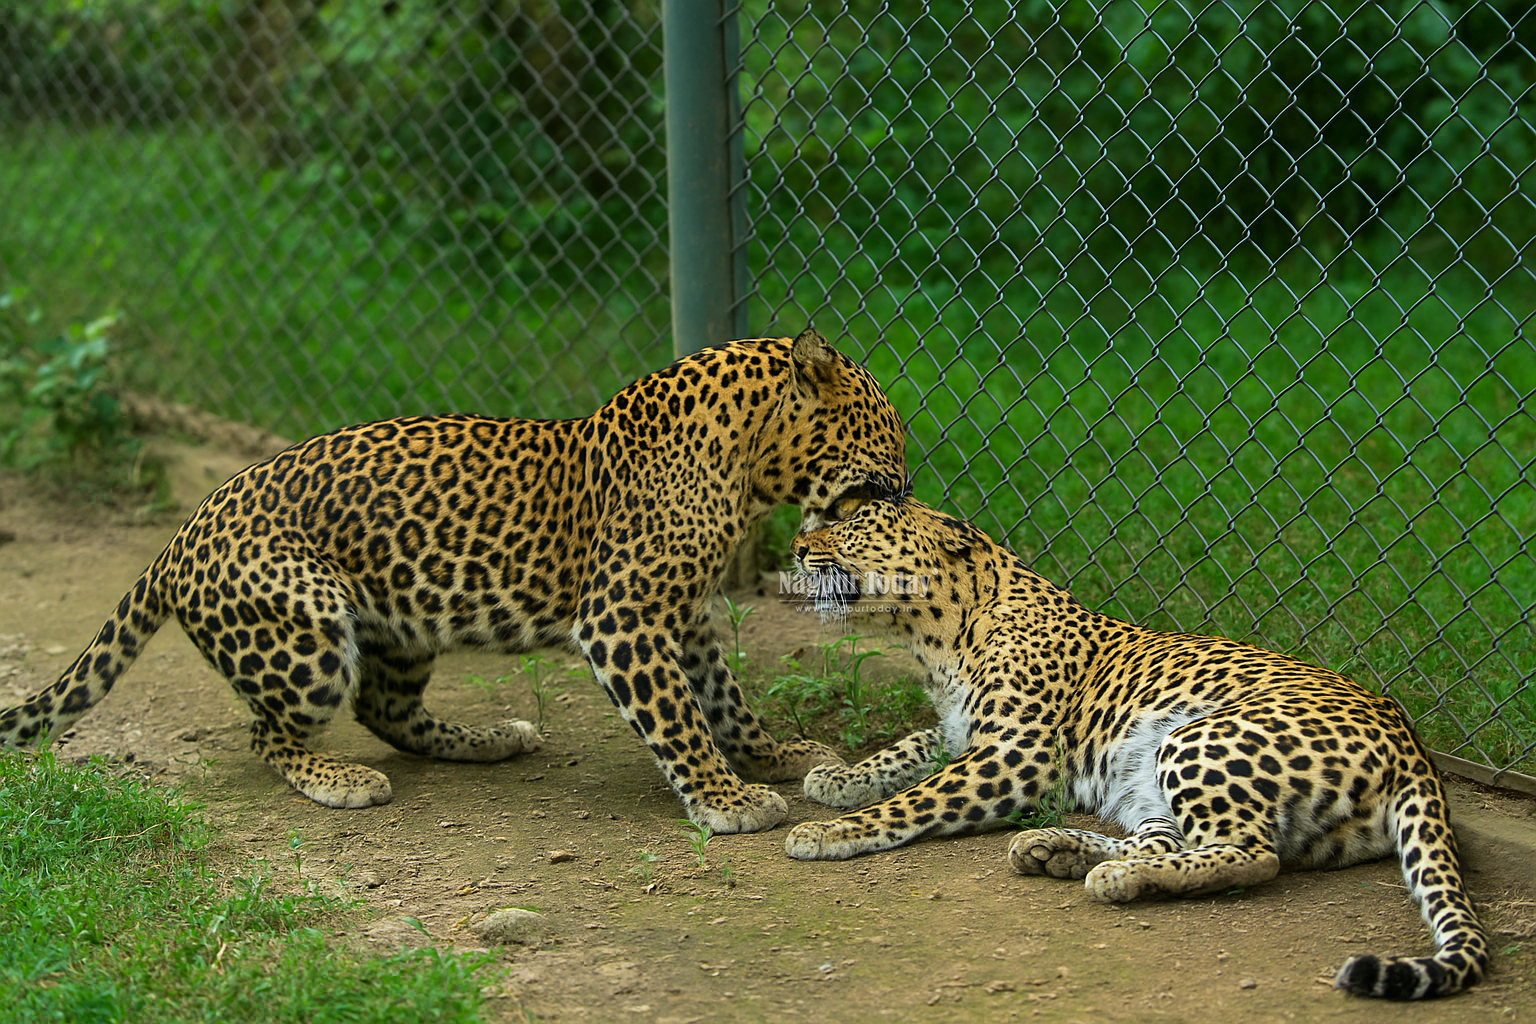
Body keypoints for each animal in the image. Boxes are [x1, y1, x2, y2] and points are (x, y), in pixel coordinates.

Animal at [0, 329, 908, 835]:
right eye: (890, 434)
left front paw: (774, 757)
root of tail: (178, 536)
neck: (749, 468)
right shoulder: (624, 618)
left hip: (402, 624)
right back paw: (340, 780)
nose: (907, 490)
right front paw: (726, 797)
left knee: (386, 709)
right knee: (270, 734)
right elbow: (680, 717)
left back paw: (488, 739)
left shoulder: (683, 616)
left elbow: (726, 699)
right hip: (308, 629)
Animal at [783, 495, 1487, 999]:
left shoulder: (1015, 754)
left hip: (1195, 740)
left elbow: (918, 798)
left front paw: (830, 831)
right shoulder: (965, 732)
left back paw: (1108, 874)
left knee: (1251, 855)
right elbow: (907, 748)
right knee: (1170, 841)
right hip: (1145, 779)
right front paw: (838, 780)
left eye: (851, 527)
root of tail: (1412, 742)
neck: (941, 638)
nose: (794, 546)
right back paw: (1059, 851)